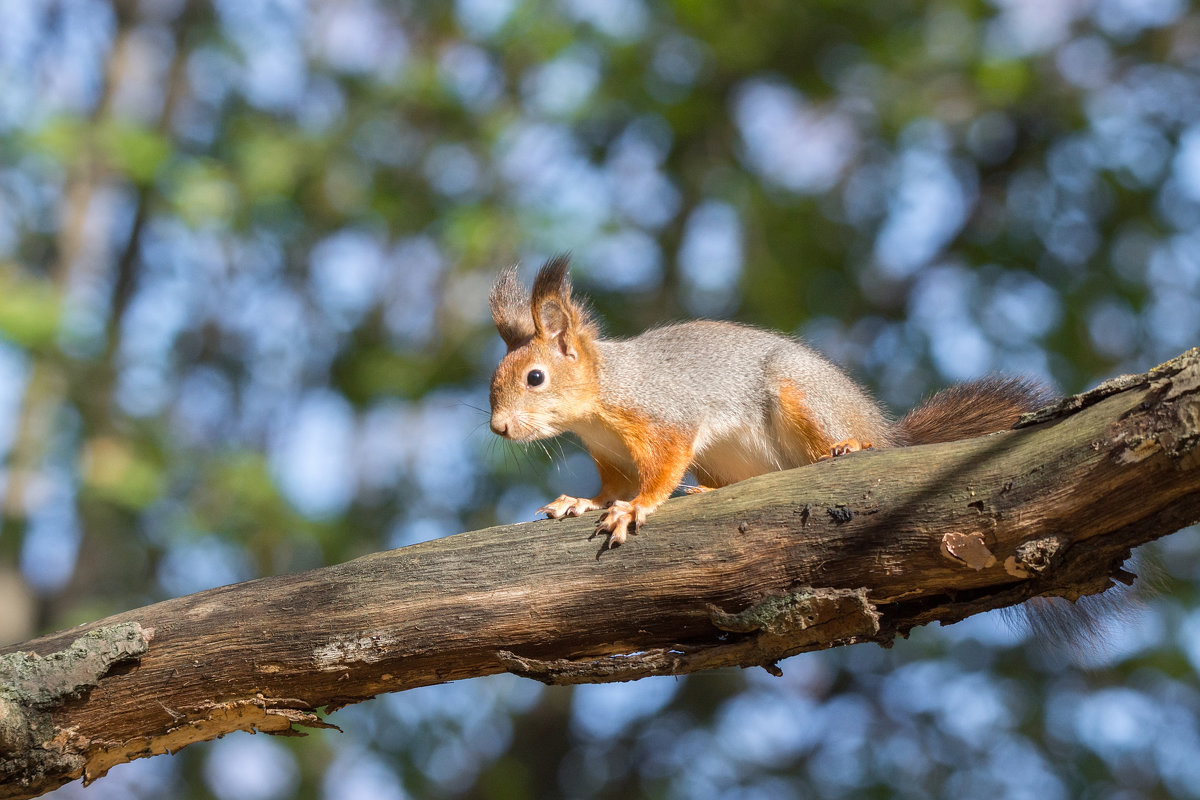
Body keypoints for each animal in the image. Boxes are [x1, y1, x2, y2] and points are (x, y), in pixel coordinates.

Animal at [487, 256, 1051, 551]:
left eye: (535, 378)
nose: (498, 429)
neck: (601, 400)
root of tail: (884, 429)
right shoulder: (612, 457)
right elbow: (610, 489)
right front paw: (581, 502)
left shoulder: (664, 415)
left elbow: (661, 469)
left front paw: (636, 508)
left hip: (798, 392)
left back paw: (849, 448)